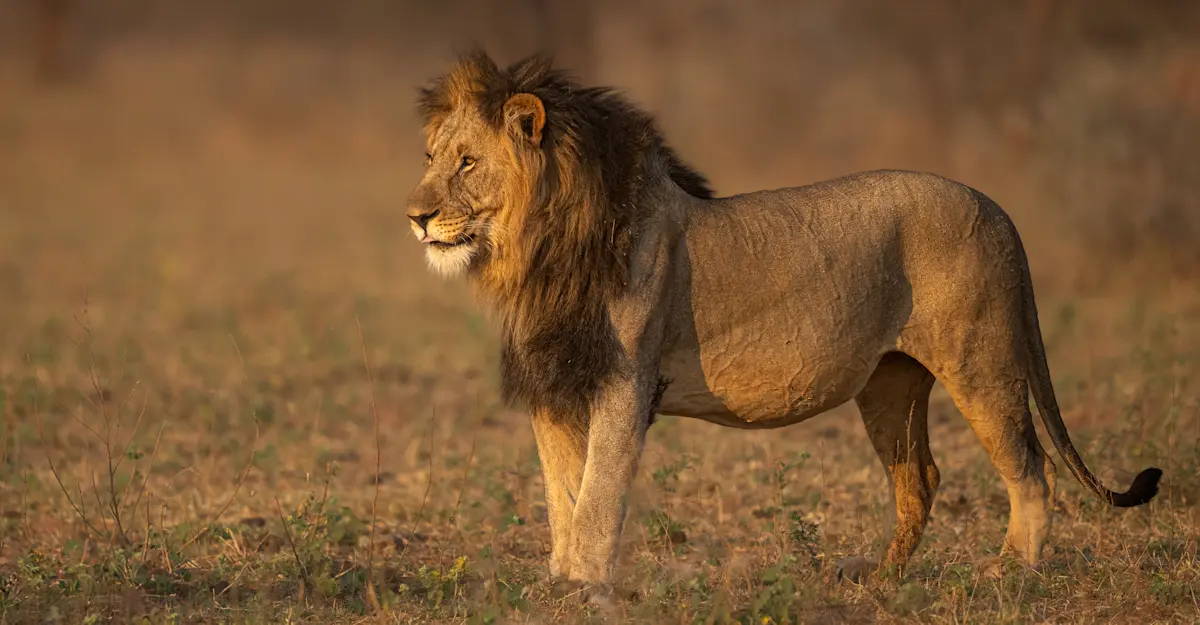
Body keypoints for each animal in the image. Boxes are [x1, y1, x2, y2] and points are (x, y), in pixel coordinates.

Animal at [404, 50, 1162, 584]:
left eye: (467, 163)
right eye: (431, 157)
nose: (414, 217)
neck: (537, 253)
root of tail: (998, 207)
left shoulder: (624, 383)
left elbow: (596, 497)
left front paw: (587, 587)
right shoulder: (558, 387)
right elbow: (563, 494)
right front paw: (561, 583)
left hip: (983, 362)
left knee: (1032, 470)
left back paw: (1012, 573)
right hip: (890, 383)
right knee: (921, 479)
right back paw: (878, 577)